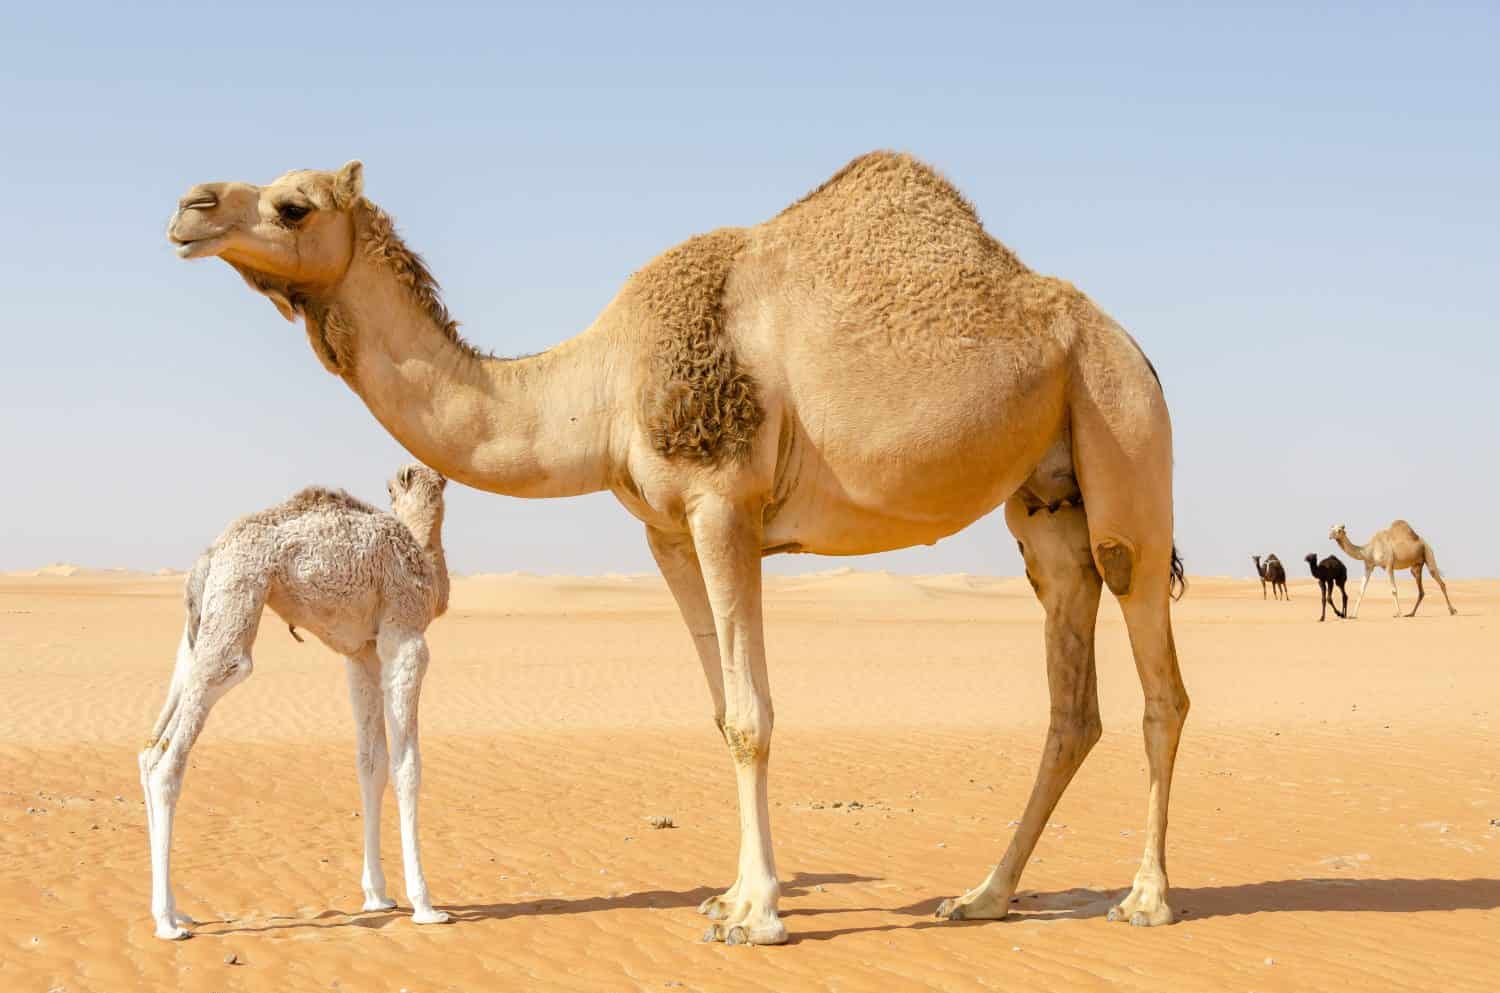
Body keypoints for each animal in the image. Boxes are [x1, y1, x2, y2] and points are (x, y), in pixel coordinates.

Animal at [138, 464, 451, 940]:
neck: (421, 553)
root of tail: (210, 555)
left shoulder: (362, 653)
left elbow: (371, 764)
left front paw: (378, 895)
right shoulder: (405, 636)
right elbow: (407, 767)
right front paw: (425, 905)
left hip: (202, 623)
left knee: (152, 745)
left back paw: (177, 910)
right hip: (239, 596)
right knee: (169, 757)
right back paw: (167, 923)